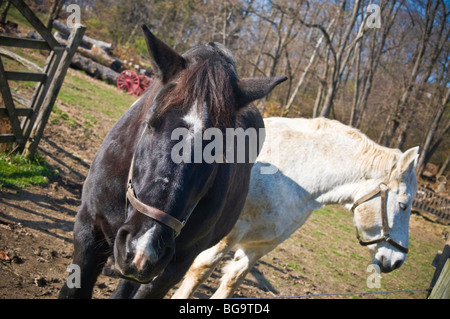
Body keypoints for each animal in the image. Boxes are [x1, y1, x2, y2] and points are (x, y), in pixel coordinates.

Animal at [171, 117, 418, 300]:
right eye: (403, 205)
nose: (397, 261)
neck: (292, 174)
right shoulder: (228, 234)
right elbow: (200, 270)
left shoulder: (259, 246)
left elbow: (233, 280)